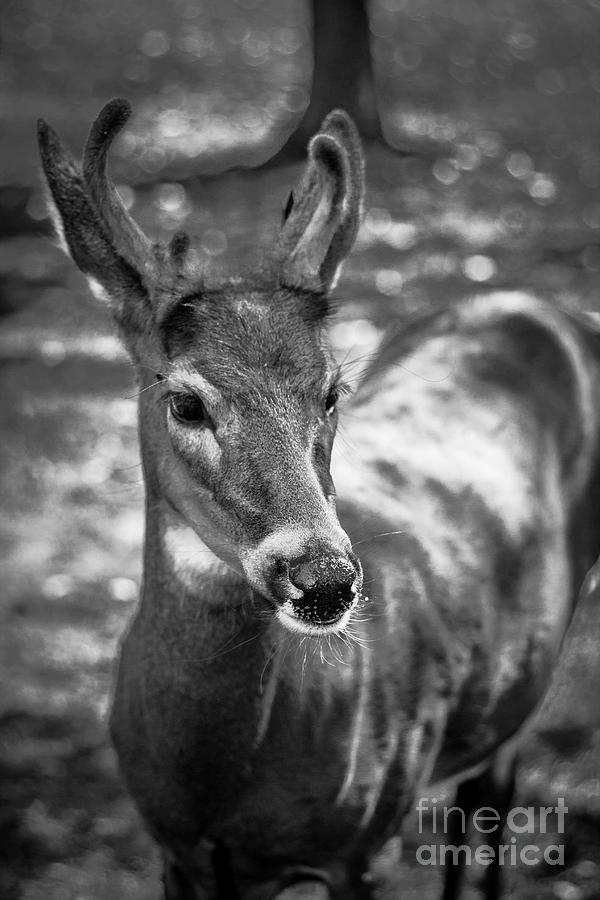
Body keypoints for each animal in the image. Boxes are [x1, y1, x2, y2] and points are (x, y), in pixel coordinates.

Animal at [36, 100, 600, 900]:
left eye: (333, 390)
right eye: (186, 402)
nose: (325, 578)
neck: (218, 792)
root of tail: (549, 310)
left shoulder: (357, 841)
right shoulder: (176, 851)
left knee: (490, 805)